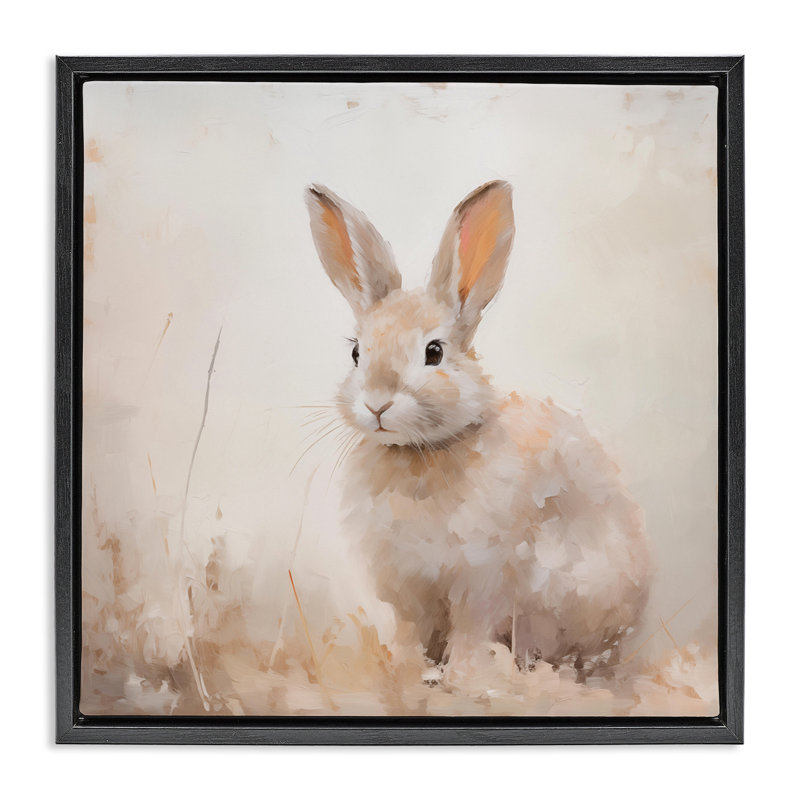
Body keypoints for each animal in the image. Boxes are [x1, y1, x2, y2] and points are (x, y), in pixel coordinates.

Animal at [305, 180, 651, 680]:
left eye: (433, 352)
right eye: (356, 353)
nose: (376, 403)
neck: (420, 452)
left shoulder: (482, 578)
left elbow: (471, 628)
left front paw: (465, 676)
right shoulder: (408, 590)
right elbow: (411, 633)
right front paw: (406, 670)